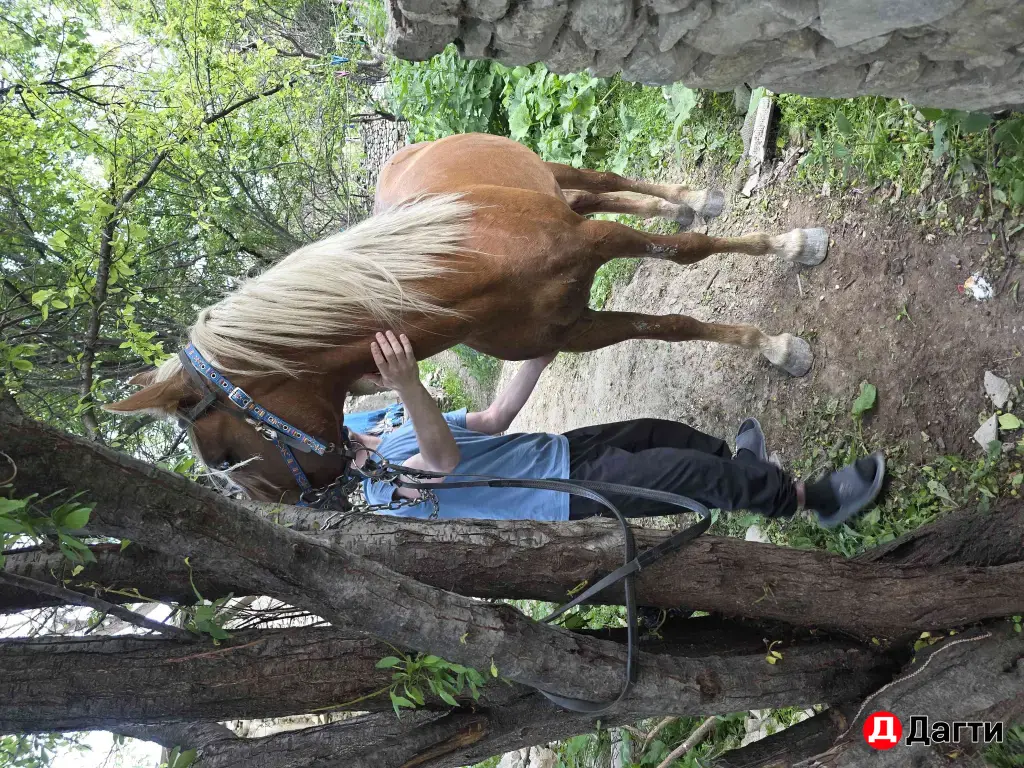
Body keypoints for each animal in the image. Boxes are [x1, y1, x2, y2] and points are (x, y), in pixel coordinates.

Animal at [104, 132, 829, 504]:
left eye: (226, 454)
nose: (293, 505)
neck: (473, 268)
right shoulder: (574, 329)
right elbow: (673, 324)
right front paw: (770, 342)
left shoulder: (596, 242)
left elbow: (690, 255)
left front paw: (791, 269)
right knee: (607, 192)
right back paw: (683, 205)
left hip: (552, 172)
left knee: (607, 181)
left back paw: (695, 199)